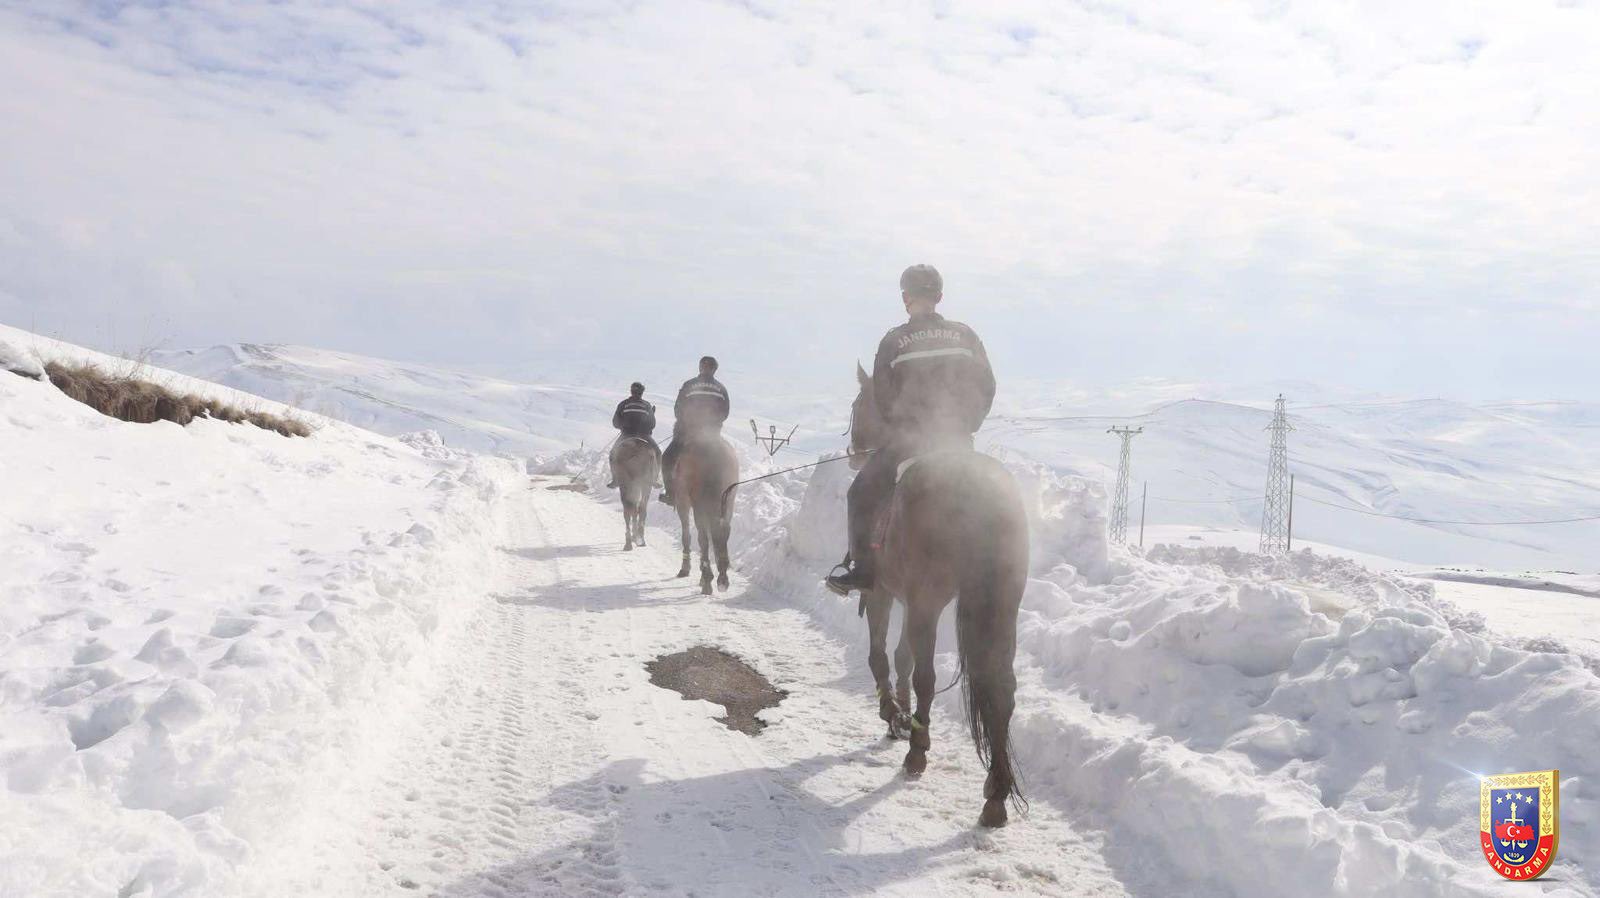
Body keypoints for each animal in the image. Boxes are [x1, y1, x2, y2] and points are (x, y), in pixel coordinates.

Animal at [668, 433, 738, 595]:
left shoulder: (684, 502)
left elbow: (688, 535)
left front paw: (689, 569)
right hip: (727, 503)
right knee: (720, 532)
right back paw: (721, 577)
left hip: (696, 504)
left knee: (703, 537)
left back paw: (707, 579)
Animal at [847, 362, 1029, 828]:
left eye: (858, 404)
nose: (855, 450)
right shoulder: (909, 598)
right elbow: (901, 656)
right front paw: (898, 711)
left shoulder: (885, 592)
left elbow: (882, 654)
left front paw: (892, 713)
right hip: (999, 603)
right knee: (1002, 688)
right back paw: (996, 793)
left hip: (928, 600)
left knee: (927, 675)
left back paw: (917, 750)